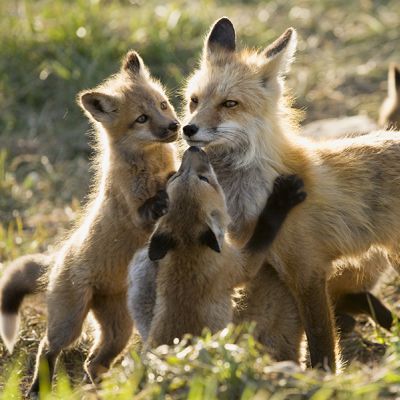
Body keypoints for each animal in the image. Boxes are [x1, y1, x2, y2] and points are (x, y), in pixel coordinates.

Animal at [0, 50, 178, 394]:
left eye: (162, 105)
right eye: (141, 119)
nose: (176, 126)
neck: (149, 168)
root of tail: (57, 258)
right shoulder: (134, 213)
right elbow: (150, 207)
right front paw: (166, 190)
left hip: (119, 331)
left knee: (93, 362)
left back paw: (96, 391)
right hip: (69, 322)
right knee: (48, 348)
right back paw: (37, 389)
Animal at [184, 18, 400, 372]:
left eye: (230, 104)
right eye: (194, 100)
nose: (187, 129)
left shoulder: (307, 270)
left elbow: (322, 343)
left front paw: (324, 377)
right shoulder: (265, 264)